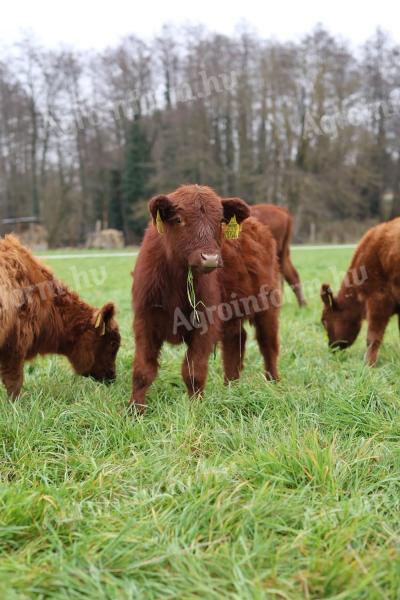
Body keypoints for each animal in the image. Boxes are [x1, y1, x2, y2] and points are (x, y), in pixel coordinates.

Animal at [132, 185, 282, 414]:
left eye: (220, 220)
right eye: (178, 219)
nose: (210, 258)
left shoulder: (205, 323)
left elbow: (193, 370)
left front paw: (195, 408)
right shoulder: (145, 320)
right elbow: (143, 371)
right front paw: (135, 410)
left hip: (267, 305)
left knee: (268, 345)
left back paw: (274, 384)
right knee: (236, 341)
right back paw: (231, 387)